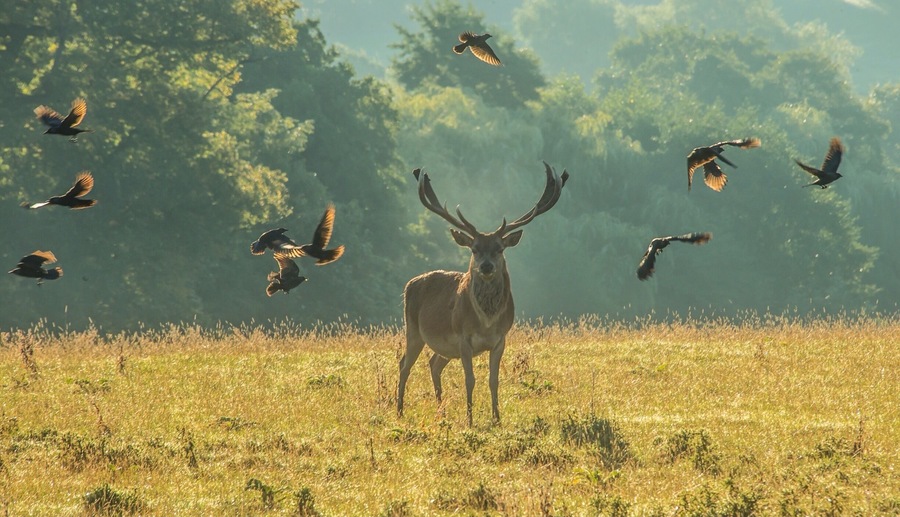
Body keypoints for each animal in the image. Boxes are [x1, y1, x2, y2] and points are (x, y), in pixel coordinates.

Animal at [397, 162, 569, 426]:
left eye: (499, 249)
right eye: (475, 249)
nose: (486, 266)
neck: (486, 322)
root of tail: (409, 284)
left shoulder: (501, 340)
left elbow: (493, 380)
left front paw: (497, 419)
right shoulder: (463, 337)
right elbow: (470, 380)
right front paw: (469, 420)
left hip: (443, 346)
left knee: (434, 363)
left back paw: (441, 411)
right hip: (413, 328)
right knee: (404, 364)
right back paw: (399, 410)